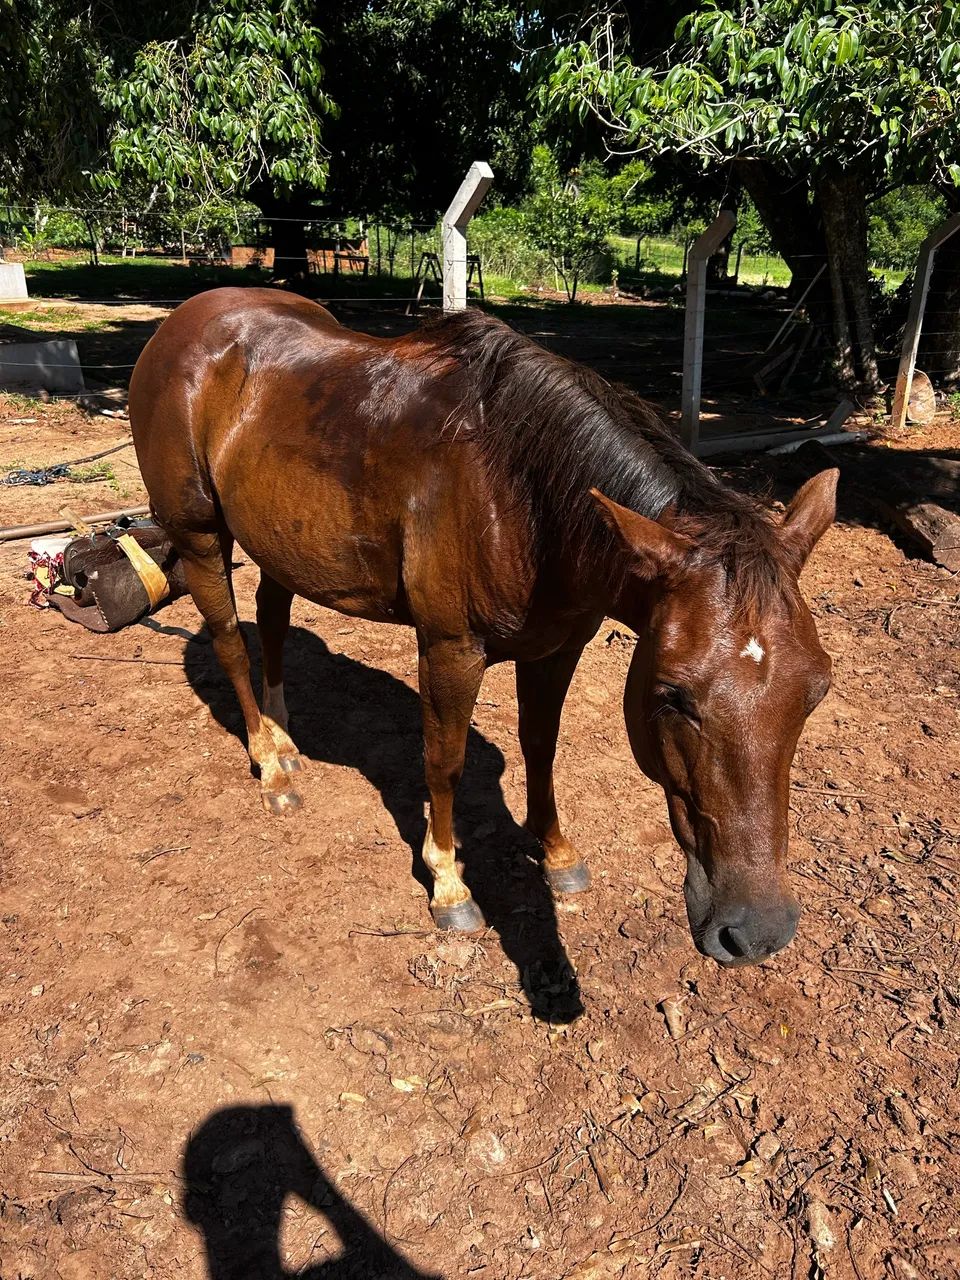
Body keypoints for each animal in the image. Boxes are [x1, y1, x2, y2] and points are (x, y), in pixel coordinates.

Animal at [129, 288, 836, 967]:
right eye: (673, 696)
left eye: (816, 693)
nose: (756, 933)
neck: (521, 493)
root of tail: (182, 323)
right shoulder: (451, 649)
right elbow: (444, 762)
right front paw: (448, 883)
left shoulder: (558, 647)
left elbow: (541, 745)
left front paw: (556, 853)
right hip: (198, 535)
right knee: (230, 641)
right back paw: (269, 766)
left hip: (280, 539)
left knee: (273, 618)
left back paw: (282, 734)